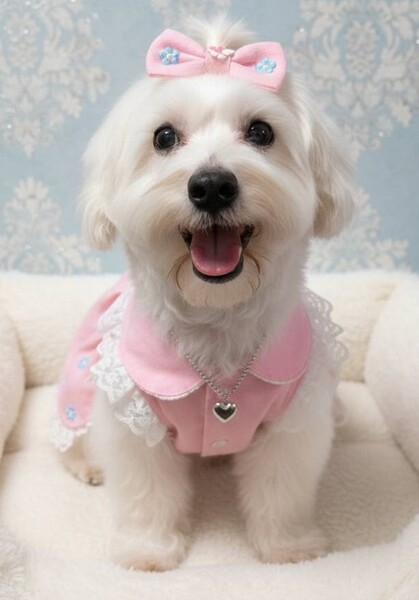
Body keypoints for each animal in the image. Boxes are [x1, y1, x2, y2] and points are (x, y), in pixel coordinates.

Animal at [51, 16, 354, 571]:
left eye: (261, 132)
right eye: (164, 136)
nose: (211, 185)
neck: (218, 321)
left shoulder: (293, 422)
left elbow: (282, 490)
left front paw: (289, 547)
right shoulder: (133, 424)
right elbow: (147, 491)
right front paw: (147, 550)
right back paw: (88, 465)